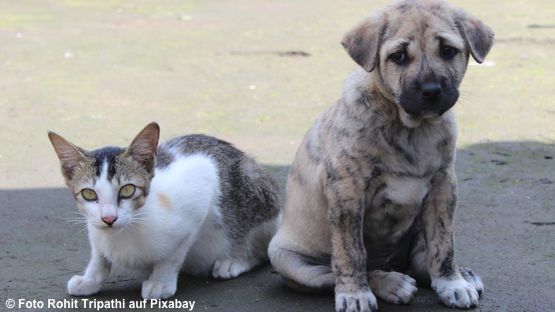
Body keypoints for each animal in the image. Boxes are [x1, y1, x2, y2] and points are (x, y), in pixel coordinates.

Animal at [47, 122, 280, 300]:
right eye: (88, 194)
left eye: (127, 189)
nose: (109, 218)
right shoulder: (94, 228)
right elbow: (99, 254)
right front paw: (91, 278)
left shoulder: (200, 191)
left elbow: (174, 255)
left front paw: (161, 281)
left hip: (256, 191)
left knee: (261, 249)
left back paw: (235, 260)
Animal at [270, 0, 496, 312]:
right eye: (398, 56)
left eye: (448, 51)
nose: (431, 91)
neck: (411, 129)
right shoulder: (347, 192)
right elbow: (352, 252)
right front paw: (355, 294)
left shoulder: (443, 187)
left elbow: (443, 243)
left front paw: (452, 282)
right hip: (289, 260)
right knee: (340, 272)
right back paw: (391, 283)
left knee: (421, 259)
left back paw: (461, 274)